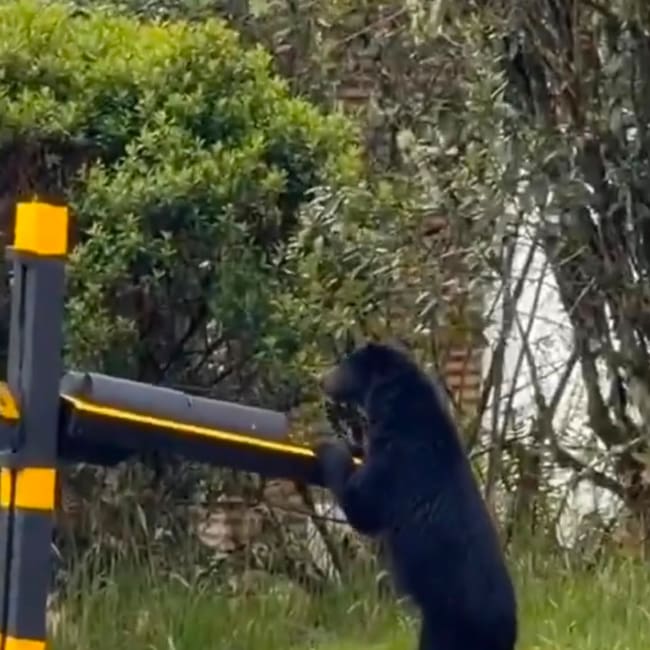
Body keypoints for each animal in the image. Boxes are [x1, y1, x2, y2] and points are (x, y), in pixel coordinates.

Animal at [314, 341, 517, 650]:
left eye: (345, 365)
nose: (322, 379)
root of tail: (507, 629)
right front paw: (352, 445)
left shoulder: (398, 461)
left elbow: (362, 506)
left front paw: (329, 448)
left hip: (446, 625)